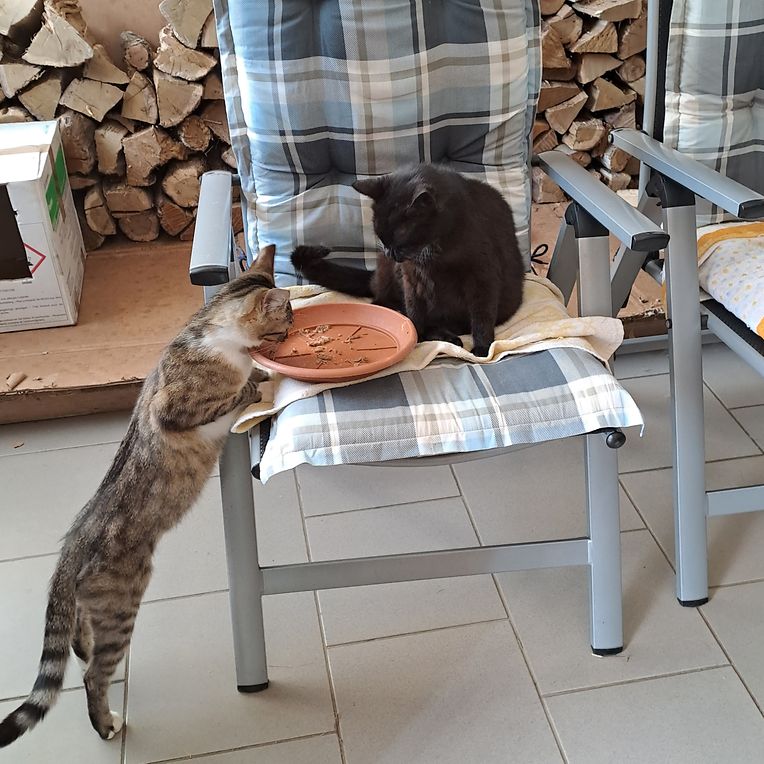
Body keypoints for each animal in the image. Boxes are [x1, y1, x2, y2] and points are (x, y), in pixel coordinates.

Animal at [0, 245, 292, 747]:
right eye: (284, 322)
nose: (292, 333)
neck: (205, 335)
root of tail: (72, 545)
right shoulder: (173, 409)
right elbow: (235, 392)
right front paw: (255, 381)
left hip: (94, 610)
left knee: (77, 640)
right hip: (122, 603)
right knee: (93, 675)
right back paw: (105, 724)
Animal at [291, 163, 525, 356]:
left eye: (400, 238)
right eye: (380, 235)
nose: (389, 253)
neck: (437, 253)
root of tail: (375, 277)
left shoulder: (482, 276)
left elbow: (482, 314)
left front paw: (483, 348)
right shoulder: (411, 277)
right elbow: (414, 312)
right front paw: (414, 337)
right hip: (390, 279)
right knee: (383, 303)